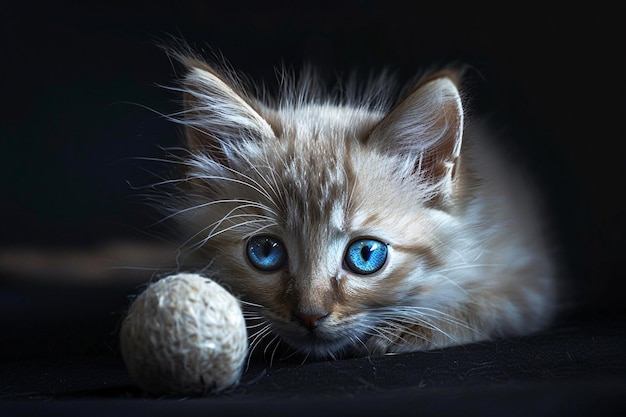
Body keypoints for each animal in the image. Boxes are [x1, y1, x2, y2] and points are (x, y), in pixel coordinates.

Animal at [158, 51, 560, 358]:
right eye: (266, 251)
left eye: (365, 255)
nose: (310, 316)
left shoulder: (529, 278)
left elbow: (484, 305)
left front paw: (414, 328)